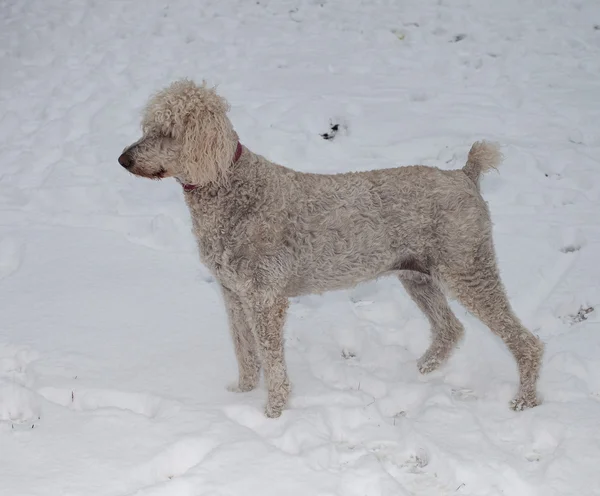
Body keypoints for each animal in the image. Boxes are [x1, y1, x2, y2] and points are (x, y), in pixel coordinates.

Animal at [117, 79, 544, 416]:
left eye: (169, 131)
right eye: (148, 127)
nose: (123, 159)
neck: (230, 188)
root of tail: (464, 175)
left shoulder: (265, 298)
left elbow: (271, 360)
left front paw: (273, 411)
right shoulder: (234, 293)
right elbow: (244, 349)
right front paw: (240, 393)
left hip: (468, 269)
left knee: (526, 342)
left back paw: (525, 400)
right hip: (418, 276)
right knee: (451, 328)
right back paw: (423, 370)